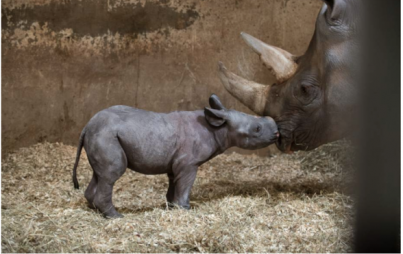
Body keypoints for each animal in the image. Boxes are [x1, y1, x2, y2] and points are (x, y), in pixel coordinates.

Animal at [72, 94, 280, 217]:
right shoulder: (189, 163)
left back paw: (95, 210)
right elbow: (186, 184)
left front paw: (172, 206)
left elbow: (174, 182)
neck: (217, 127)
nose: (277, 132)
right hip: (106, 135)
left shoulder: (176, 162)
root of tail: (87, 126)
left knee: (99, 174)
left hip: (101, 135)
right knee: (112, 173)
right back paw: (115, 216)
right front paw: (186, 209)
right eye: (257, 129)